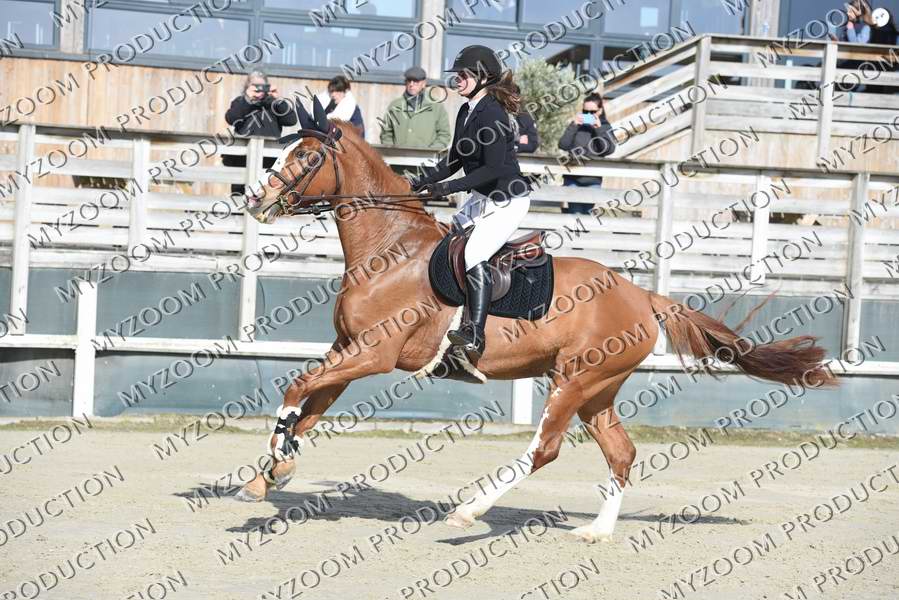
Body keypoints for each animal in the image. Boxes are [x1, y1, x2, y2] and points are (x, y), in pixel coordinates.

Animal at [233, 110, 838, 542]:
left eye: (306, 155)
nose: (254, 197)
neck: (391, 248)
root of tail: (641, 295)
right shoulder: (347, 348)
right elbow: (310, 405)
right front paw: (270, 474)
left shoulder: (372, 354)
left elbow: (297, 387)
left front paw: (277, 459)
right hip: (596, 389)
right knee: (621, 452)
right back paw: (596, 532)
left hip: (573, 382)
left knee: (544, 450)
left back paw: (468, 513)